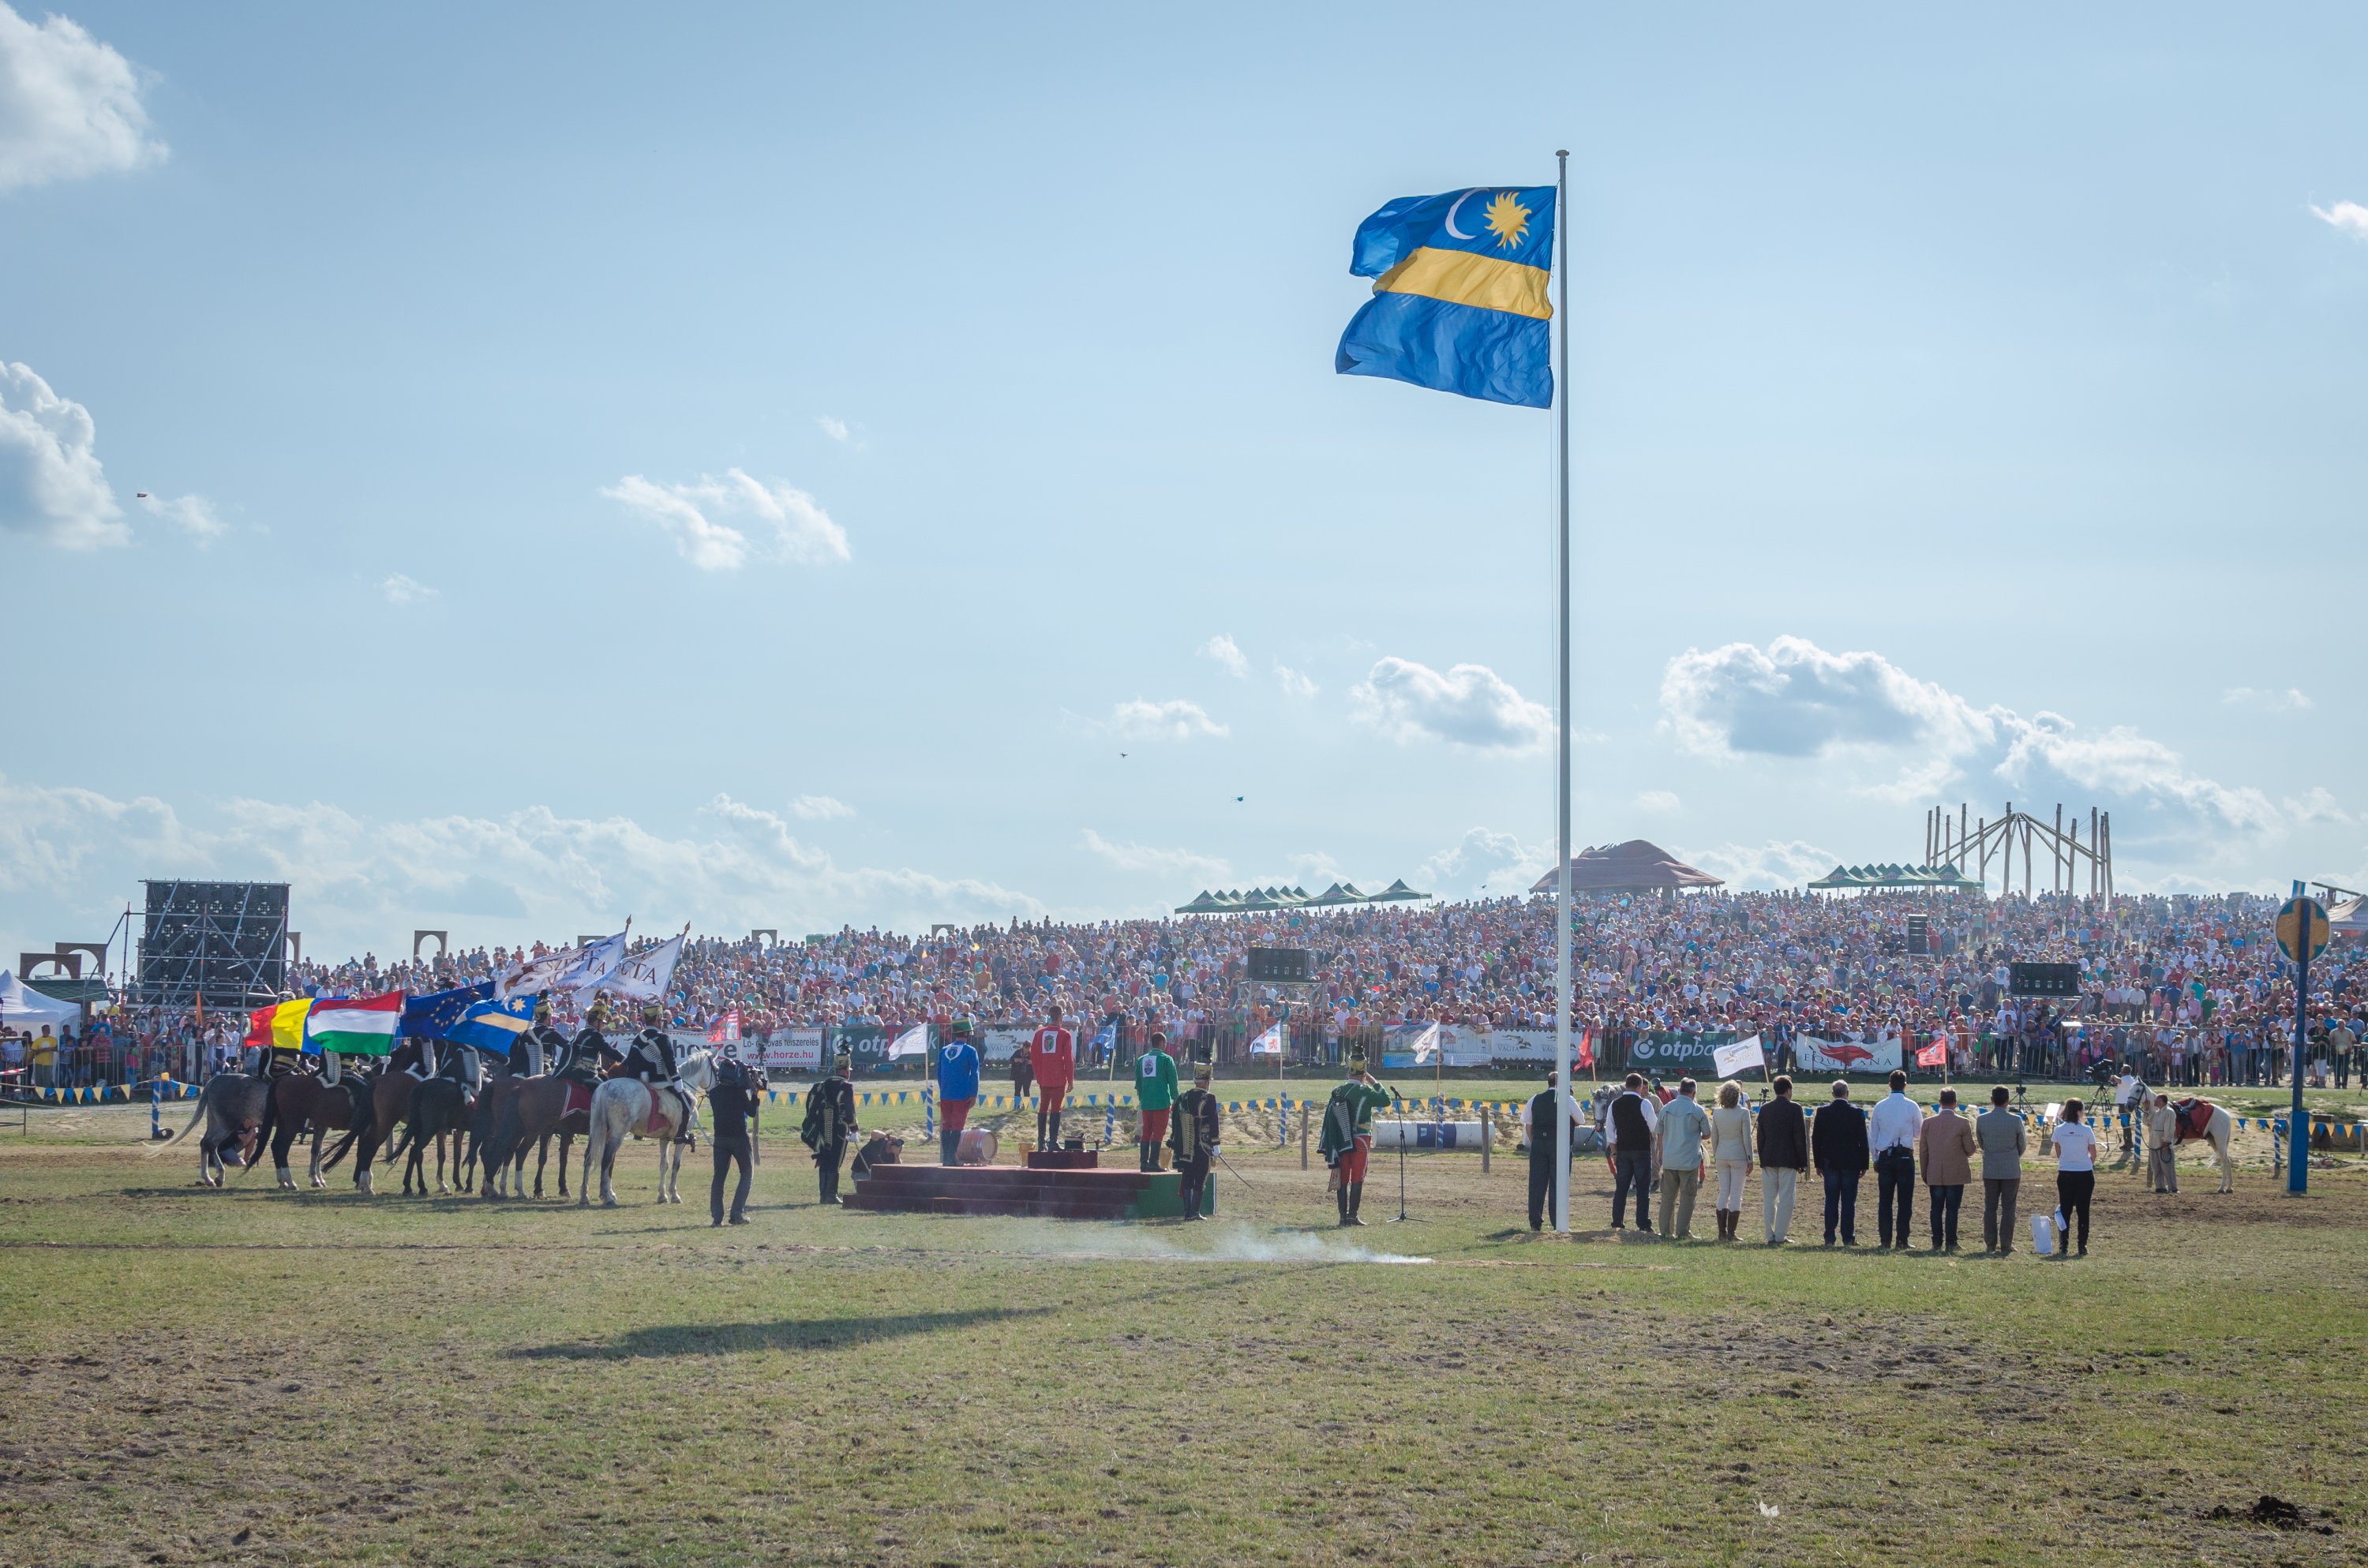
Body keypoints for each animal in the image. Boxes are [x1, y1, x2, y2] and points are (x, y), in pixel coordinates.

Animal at [143, 1070, 271, 1193]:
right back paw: (218, 1177)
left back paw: (209, 1179)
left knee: (205, 1143)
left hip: (215, 1122)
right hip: (227, 1125)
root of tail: (217, 1079)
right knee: (211, 1143)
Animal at [580, 1051, 715, 1207]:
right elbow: (676, 1165)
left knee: (589, 1156)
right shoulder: (681, 1139)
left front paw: (662, 1196)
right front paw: (674, 1195)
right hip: (618, 1134)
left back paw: (585, 1196)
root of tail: (606, 1086)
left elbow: (664, 1165)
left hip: (600, 1131)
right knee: (607, 1158)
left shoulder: (665, 1139)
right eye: (716, 1068)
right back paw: (607, 1197)